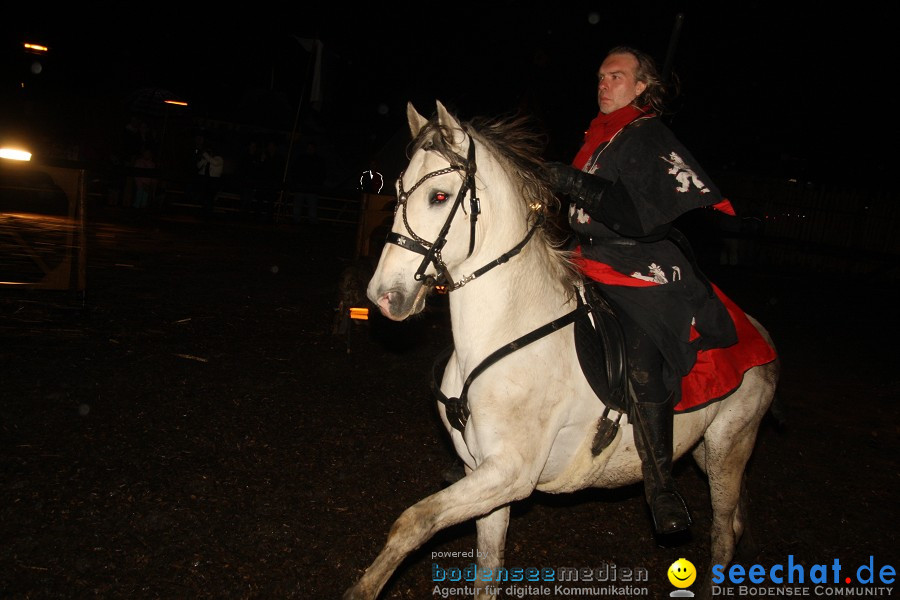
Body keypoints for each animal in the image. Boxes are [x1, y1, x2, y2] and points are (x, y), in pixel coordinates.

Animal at [346, 101, 780, 596]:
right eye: (398, 191)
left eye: (439, 196)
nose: (383, 295)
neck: (507, 330)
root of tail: (758, 331)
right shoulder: (485, 474)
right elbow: (487, 568)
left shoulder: (510, 473)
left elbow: (413, 521)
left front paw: (362, 589)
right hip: (707, 451)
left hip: (730, 444)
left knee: (723, 531)